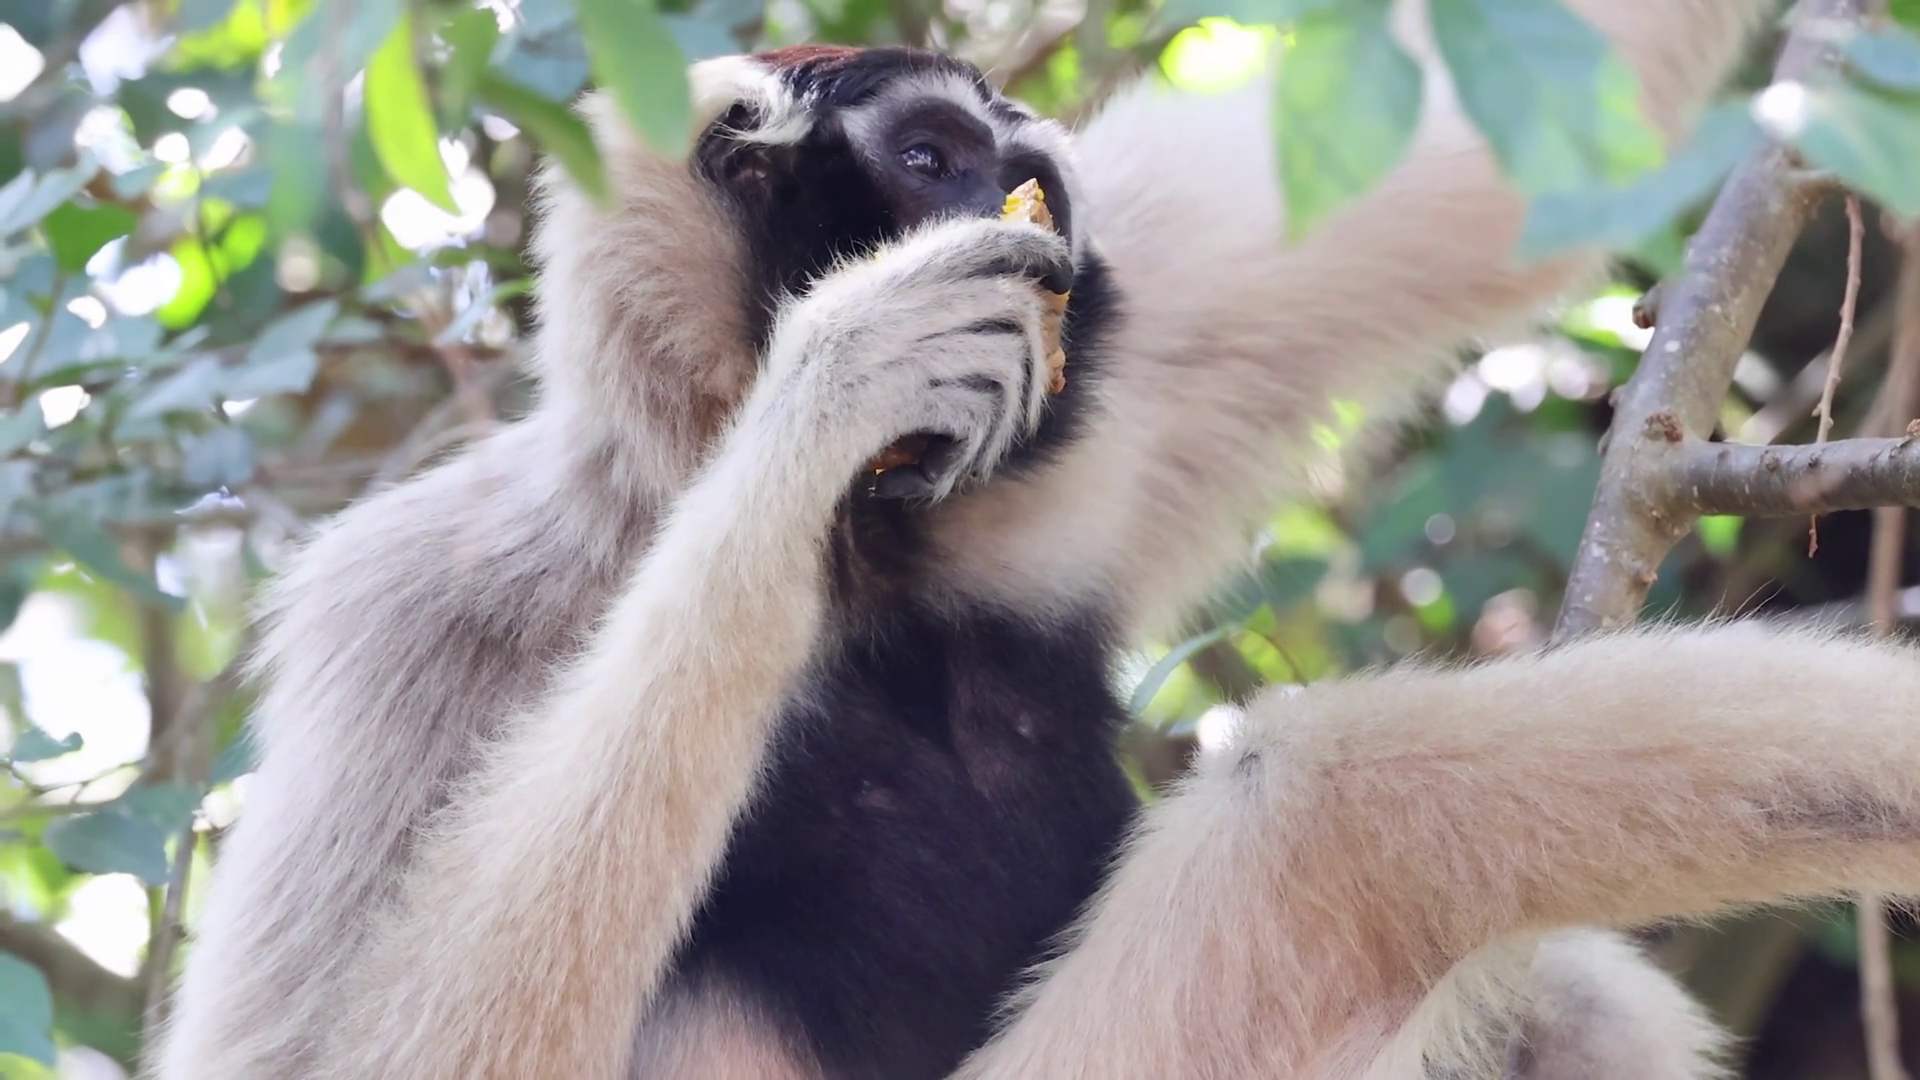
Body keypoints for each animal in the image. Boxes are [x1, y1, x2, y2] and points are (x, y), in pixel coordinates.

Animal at [145, 1, 1920, 1077]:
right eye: (928, 156)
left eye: (1030, 176)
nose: (1021, 206)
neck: (872, 559)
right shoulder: (430, 599)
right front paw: (834, 379)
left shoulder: (1111, 351)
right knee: (1324, 825)